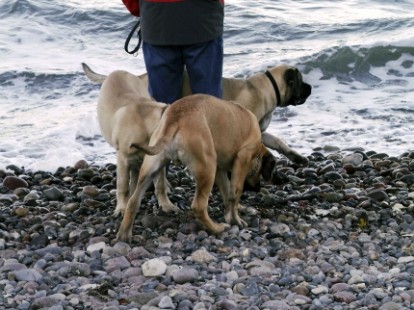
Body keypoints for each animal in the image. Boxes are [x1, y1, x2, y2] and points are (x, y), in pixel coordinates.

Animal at [115, 94, 274, 242]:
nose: (258, 188)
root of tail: (176, 116)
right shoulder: (242, 160)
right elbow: (234, 193)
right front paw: (235, 218)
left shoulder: (220, 170)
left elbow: (227, 191)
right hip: (208, 167)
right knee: (199, 206)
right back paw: (216, 228)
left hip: (150, 169)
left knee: (133, 202)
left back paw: (124, 233)